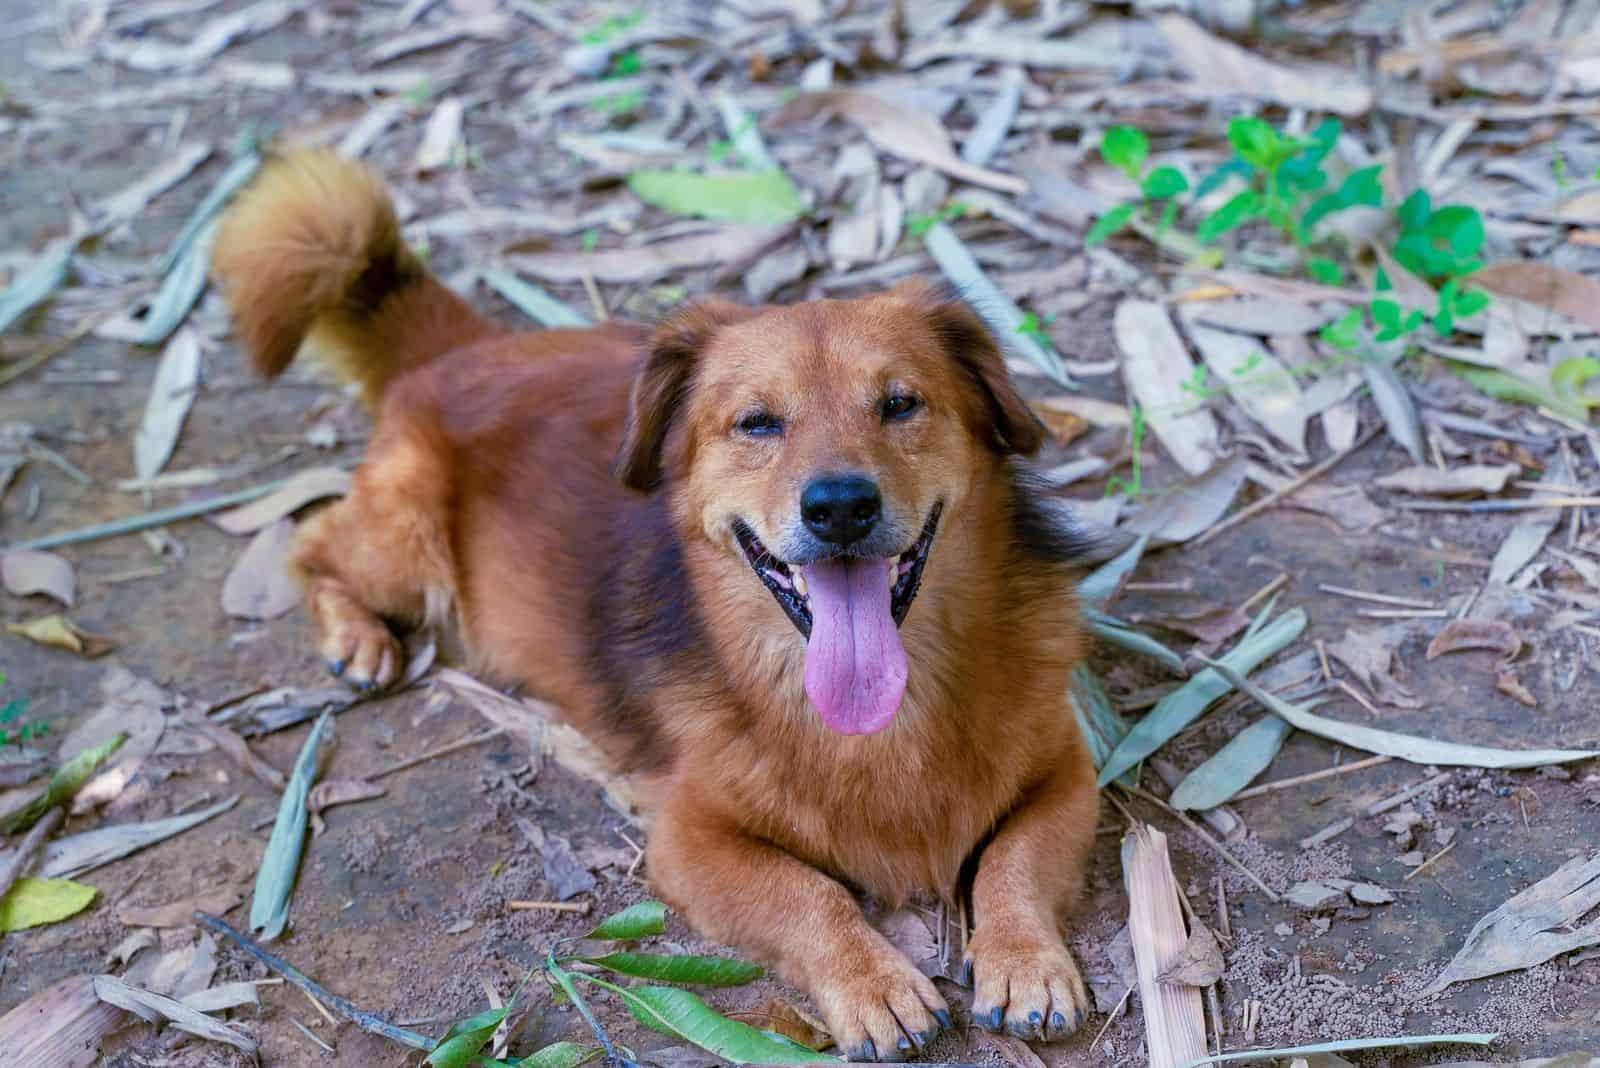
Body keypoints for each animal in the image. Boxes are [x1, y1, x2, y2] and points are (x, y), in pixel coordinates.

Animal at [212, 150, 1100, 1061]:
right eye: (757, 423)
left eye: (900, 403)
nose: (841, 506)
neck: (885, 721)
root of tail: (464, 350)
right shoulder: (691, 839)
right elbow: (808, 895)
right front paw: (874, 983)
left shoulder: (1068, 770)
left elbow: (1014, 858)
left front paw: (1025, 959)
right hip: (406, 544)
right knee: (312, 539)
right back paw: (355, 638)